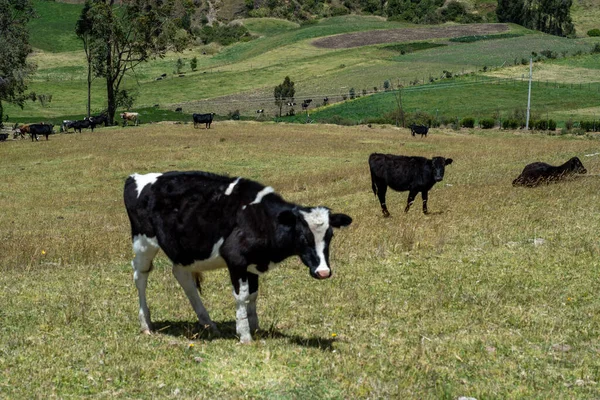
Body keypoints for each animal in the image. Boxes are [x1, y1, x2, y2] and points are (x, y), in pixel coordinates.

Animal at [124, 170, 354, 342]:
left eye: (330, 236)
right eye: (303, 236)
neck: (259, 219)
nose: (323, 271)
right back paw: (146, 324)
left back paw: (208, 323)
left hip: (183, 250)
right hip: (143, 242)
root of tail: (136, 177)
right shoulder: (236, 261)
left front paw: (256, 327)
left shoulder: (252, 263)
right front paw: (244, 335)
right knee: (140, 276)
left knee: (183, 277)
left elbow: (253, 295)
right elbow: (242, 296)